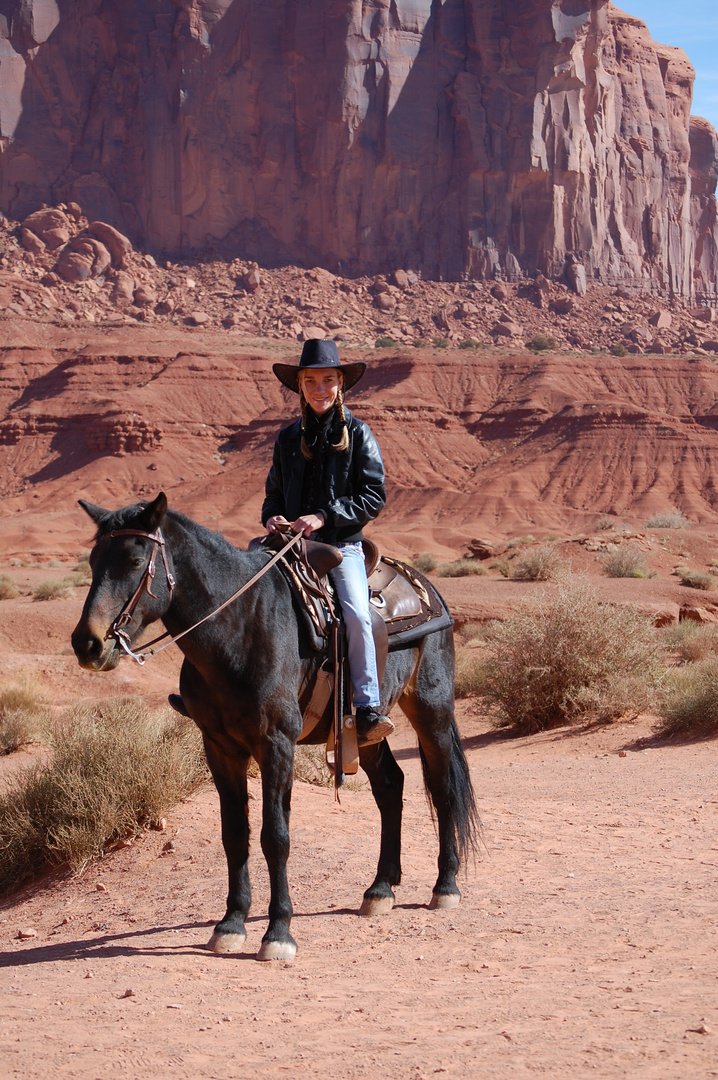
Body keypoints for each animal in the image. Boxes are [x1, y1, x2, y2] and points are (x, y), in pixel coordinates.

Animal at [71, 494, 475, 959]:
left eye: (136, 560)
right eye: (93, 560)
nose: (87, 643)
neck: (238, 629)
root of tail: (427, 588)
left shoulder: (276, 743)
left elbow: (275, 837)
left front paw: (278, 931)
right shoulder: (220, 748)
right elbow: (235, 834)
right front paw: (231, 924)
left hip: (431, 710)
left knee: (443, 789)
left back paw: (445, 886)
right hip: (364, 732)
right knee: (391, 787)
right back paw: (380, 890)